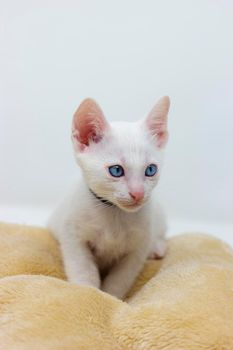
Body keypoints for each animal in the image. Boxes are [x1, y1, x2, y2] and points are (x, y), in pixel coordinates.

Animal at [48, 95, 170, 298]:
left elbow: (120, 279)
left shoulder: (138, 248)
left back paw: (157, 247)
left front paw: (111, 298)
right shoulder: (72, 236)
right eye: (116, 171)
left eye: (151, 170)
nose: (138, 193)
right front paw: (87, 293)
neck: (114, 213)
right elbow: (83, 269)